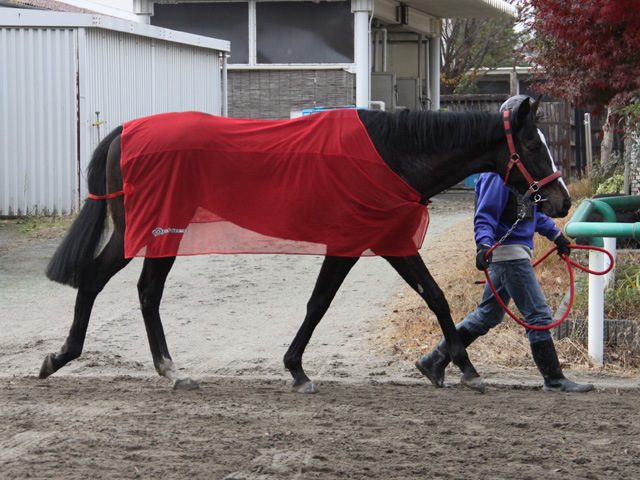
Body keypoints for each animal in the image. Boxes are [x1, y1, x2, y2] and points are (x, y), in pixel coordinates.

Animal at [40, 95, 571, 393]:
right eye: (533, 146)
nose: (561, 200)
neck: (390, 155)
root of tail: (125, 131)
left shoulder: (390, 241)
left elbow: (435, 296)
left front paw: (458, 367)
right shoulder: (354, 242)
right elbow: (320, 303)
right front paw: (296, 369)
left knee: (146, 293)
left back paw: (167, 370)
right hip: (150, 230)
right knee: (102, 280)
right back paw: (63, 357)